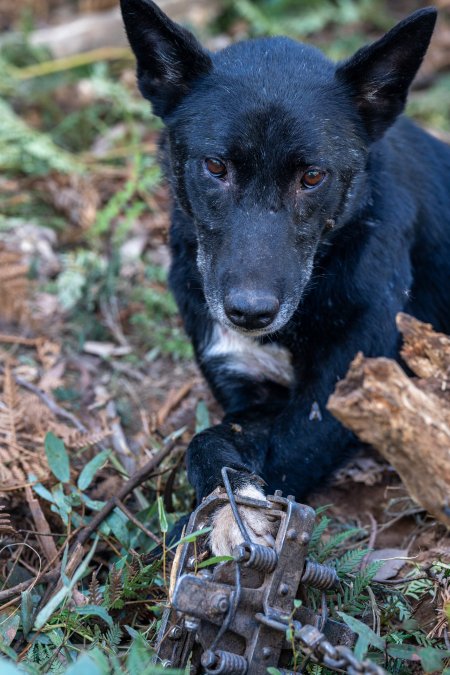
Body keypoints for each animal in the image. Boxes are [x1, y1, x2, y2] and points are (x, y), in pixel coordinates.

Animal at [120, 2, 450, 556]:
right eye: (215, 166)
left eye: (312, 177)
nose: (249, 313)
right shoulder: (246, 390)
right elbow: (207, 439)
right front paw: (227, 510)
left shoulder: (343, 396)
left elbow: (284, 453)